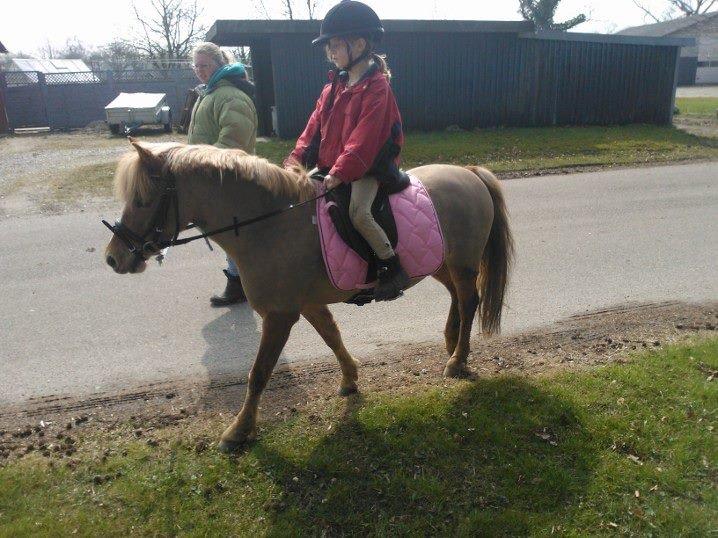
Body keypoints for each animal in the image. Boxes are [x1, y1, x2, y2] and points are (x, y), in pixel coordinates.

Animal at [104, 139, 514, 453]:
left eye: (142, 199)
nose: (113, 257)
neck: (271, 225)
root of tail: (470, 172)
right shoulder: (308, 305)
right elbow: (332, 337)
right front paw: (350, 380)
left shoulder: (280, 315)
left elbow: (259, 373)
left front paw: (239, 431)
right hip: (439, 262)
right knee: (458, 299)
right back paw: (450, 343)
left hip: (461, 263)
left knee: (469, 301)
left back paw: (457, 360)